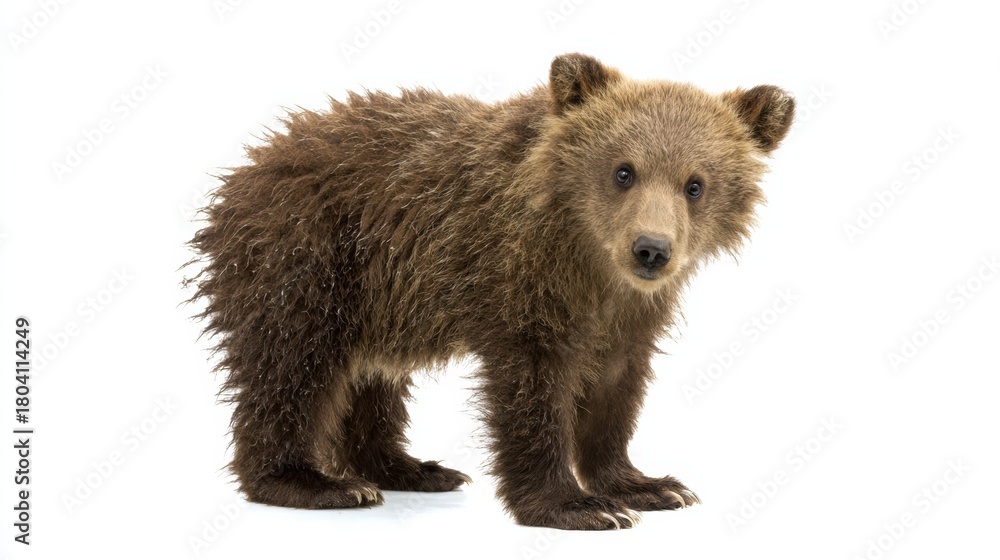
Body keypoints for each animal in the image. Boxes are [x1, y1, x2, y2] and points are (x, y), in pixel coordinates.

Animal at [185, 53, 794, 530]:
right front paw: (575, 505)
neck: (586, 256)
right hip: (308, 257)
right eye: (624, 171)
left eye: (695, 184)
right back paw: (313, 482)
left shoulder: (630, 313)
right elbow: (531, 386)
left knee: (371, 376)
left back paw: (411, 468)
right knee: (292, 364)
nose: (651, 249)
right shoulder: (515, 277)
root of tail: (248, 166)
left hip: (380, 298)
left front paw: (646, 485)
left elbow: (616, 386)